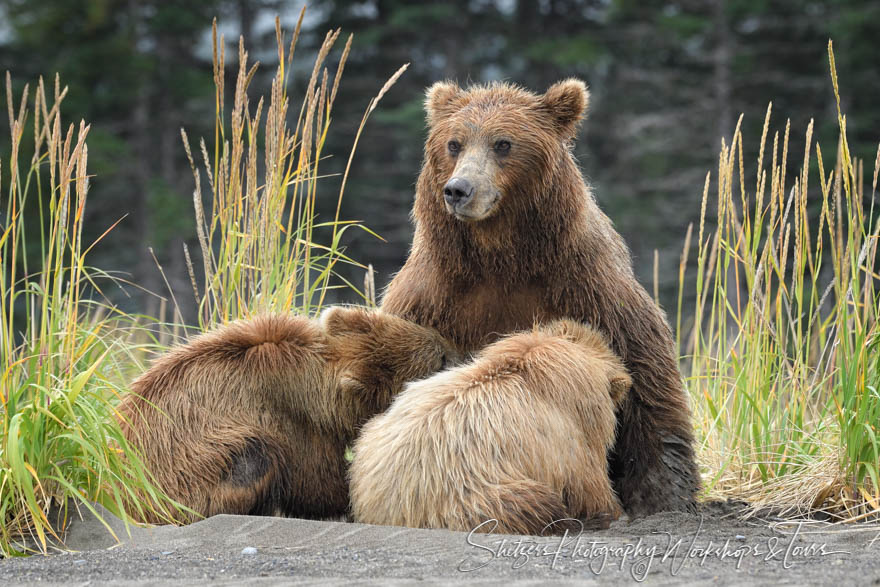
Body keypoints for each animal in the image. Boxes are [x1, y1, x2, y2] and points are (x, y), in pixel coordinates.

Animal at [384, 79, 700, 520]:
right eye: (454, 143)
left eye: (503, 143)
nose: (459, 190)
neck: (502, 257)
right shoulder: (434, 297)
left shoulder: (587, 287)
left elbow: (643, 370)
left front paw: (662, 493)